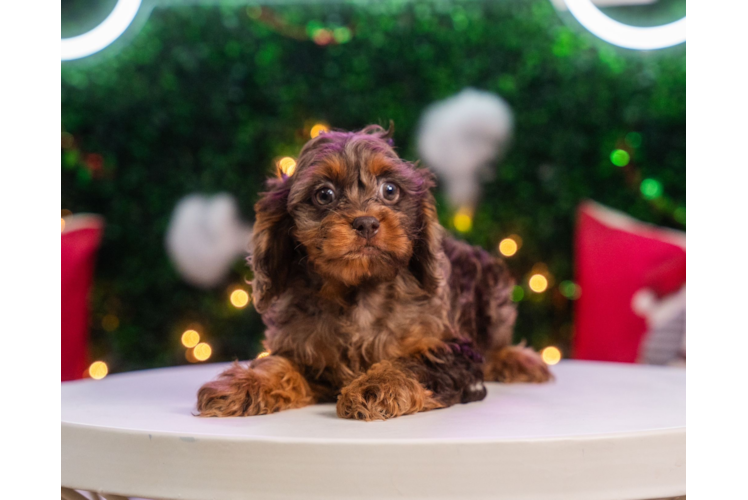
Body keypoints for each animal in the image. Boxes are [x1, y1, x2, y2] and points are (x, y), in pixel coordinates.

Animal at [196, 123, 552, 420]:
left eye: (390, 190)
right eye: (324, 194)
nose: (366, 223)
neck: (359, 291)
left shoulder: (455, 351)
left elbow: (412, 362)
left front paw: (376, 385)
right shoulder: (301, 348)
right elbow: (278, 362)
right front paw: (243, 383)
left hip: (493, 292)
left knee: (496, 343)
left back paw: (519, 361)